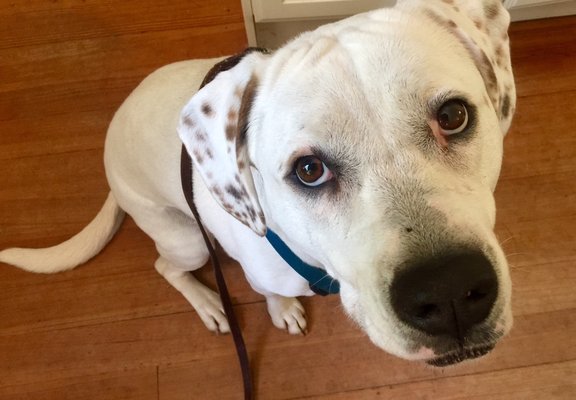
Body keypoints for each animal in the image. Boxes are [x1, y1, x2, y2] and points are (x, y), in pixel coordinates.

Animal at [1, 0, 516, 368]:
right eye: (309, 170)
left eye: (452, 116)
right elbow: (271, 292)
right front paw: (282, 310)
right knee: (166, 267)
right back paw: (210, 303)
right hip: (187, 241)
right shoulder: (259, 272)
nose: (449, 292)